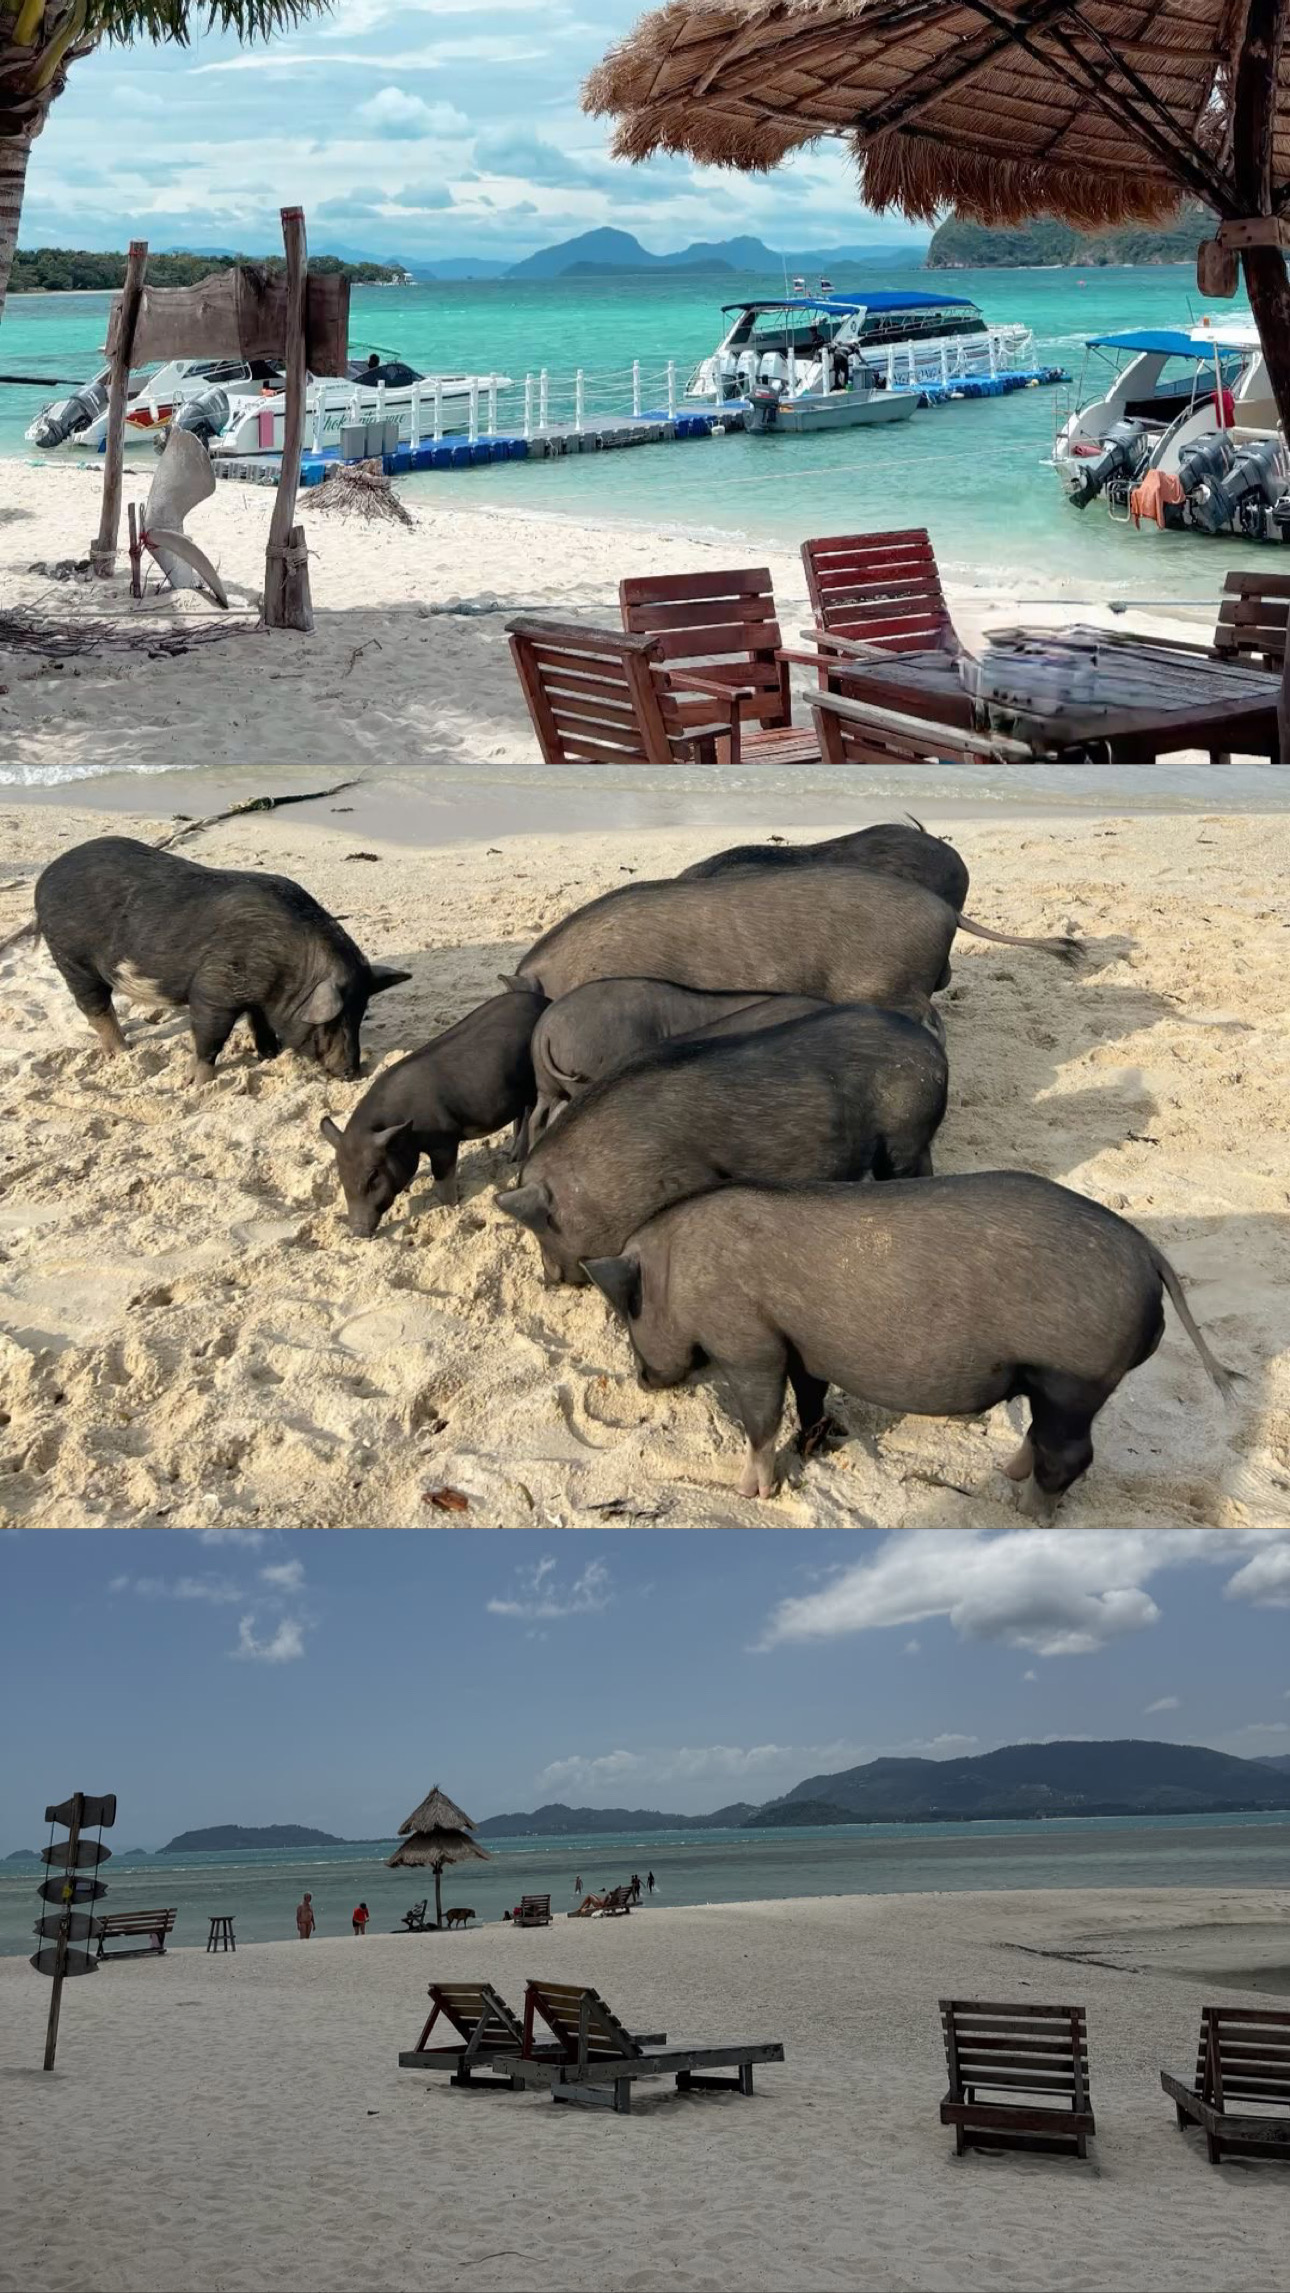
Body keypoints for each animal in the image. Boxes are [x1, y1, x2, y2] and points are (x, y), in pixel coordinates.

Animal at [34, 836, 410, 1083]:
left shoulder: (258, 997)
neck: (289, 969)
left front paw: (269, 1054)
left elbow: (259, 1021)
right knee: (95, 1007)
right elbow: (209, 1036)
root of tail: (44, 878)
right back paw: (123, 1052)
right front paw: (193, 1083)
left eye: (360, 1014)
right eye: (331, 1022)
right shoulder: (213, 989)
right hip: (70, 957)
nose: (352, 1073)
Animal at [321, 989, 547, 1235]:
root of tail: (545, 1002)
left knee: (531, 1114)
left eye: (373, 1176)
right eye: (341, 1176)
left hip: (534, 1084)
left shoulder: (444, 1138)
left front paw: (449, 1204)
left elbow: (442, 1176)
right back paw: (511, 1158)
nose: (358, 1233)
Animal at [583, 1172, 1237, 1515]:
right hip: (1056, 1383)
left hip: (1075, 1378)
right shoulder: (803, 1349)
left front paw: (751, 1493)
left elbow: (761, 1419)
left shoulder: (749, 1344)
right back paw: (1005, 1473)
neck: (675, 1271)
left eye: (629, 1311)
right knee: (1039, 1434)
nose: (642, 1379)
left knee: (1072, 1454)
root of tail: (1147, 1251)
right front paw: (813, 1444)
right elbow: (810, 1396)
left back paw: (1026, 1513)